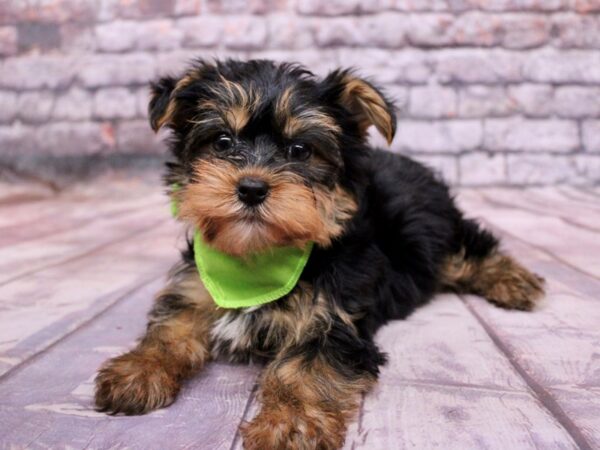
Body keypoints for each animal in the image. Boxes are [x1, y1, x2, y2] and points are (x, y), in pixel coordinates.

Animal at [92, 59, 544, 450]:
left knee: (470, 248)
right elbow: (170, 328)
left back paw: (515, 282)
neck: (258, 256)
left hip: (434, 230)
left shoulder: (332, 317)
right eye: (222, 141)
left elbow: (306, 368)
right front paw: (138, 369)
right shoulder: (195, 288)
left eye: (299, 150)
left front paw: (290, 423)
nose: (251, 188)